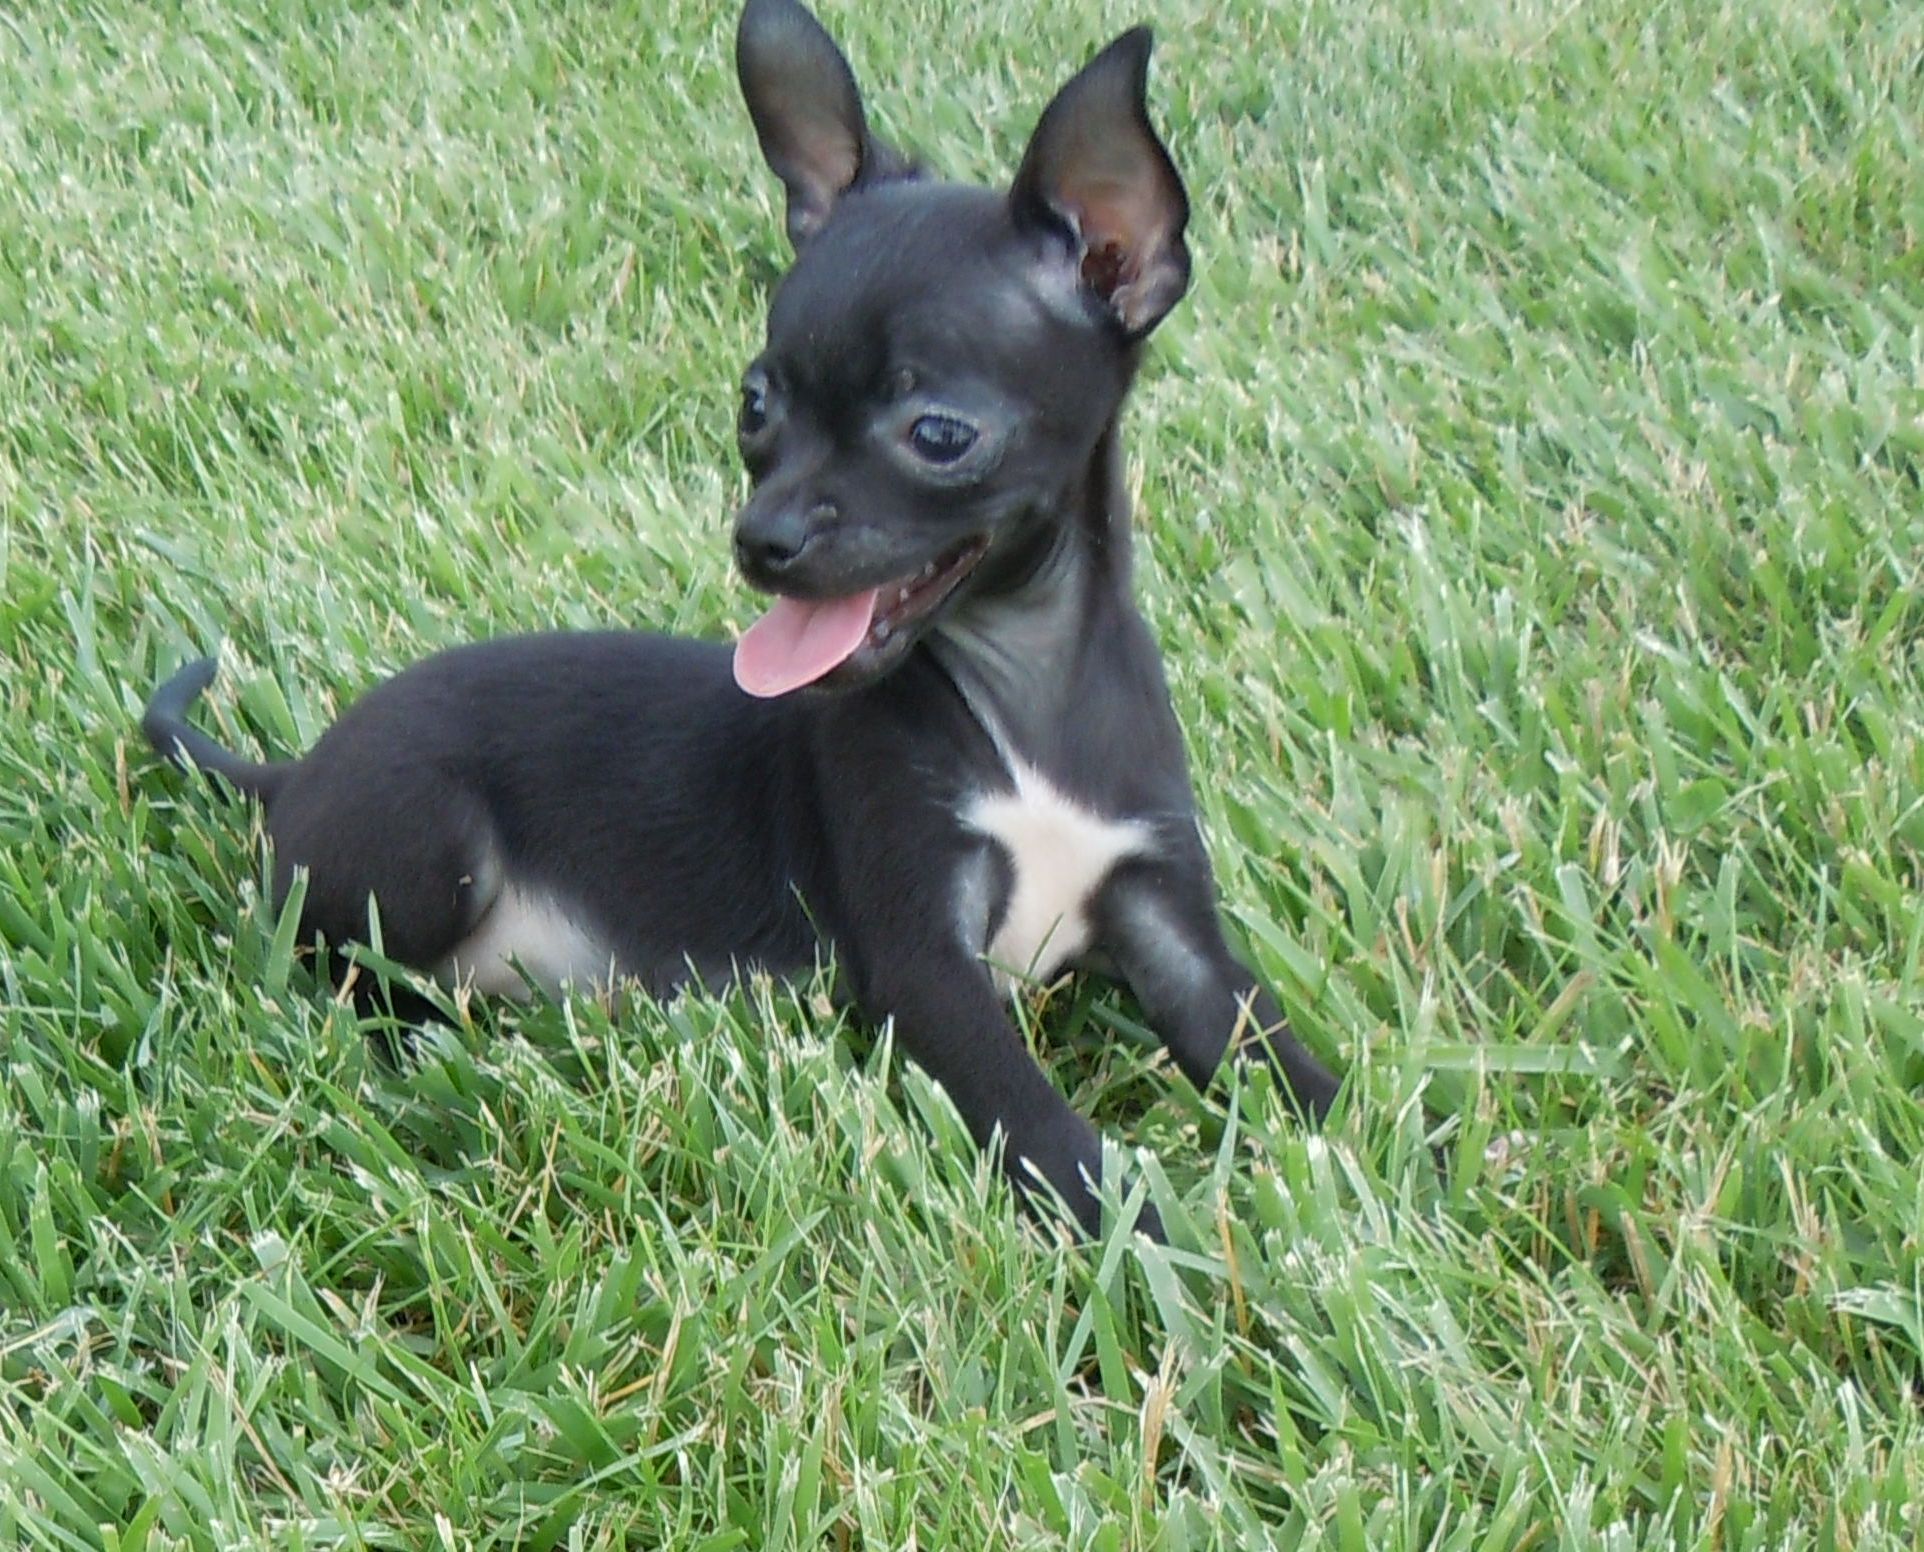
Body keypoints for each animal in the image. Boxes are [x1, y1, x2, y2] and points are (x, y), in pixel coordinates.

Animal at [142, 0, 1346, 1238]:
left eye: (939, 434)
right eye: (754, 403)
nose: (759, 540)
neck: (1025, 696)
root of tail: (294, 770)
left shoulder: (1177, 938)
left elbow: (1287, 1063)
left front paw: (1376, 1178)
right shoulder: (926, 966)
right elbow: (1047, 1128)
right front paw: (1159, 1244)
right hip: (434, 839)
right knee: (332, 967)